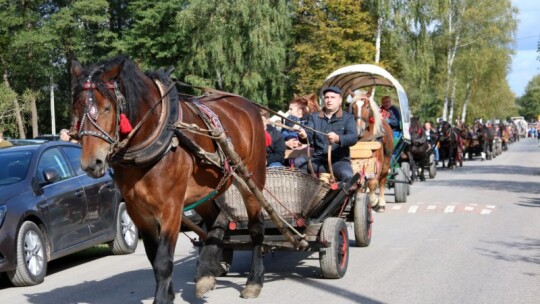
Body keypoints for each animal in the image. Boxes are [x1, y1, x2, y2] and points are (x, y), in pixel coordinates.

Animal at [69, 55, 268, 302]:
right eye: (76, 109)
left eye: (107, 108)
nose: (91, 163)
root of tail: (246, 105)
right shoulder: (138, 211)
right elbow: (154, 257)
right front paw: (171, 292)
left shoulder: (171, 208)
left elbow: (164, 260)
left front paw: (163, 297)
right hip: (201, 191)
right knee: (219, 220)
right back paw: (207, 271)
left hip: (250, 179)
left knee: (256, 228)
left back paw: (254, 280)